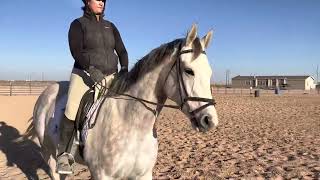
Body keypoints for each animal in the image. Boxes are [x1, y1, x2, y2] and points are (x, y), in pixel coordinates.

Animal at [30, 24, 218, 179]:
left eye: (209, 72)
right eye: (189, 71)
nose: (210, 120)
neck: (132, 123)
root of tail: (47, 91)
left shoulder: (143, 175)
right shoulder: (102, 175)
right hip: (49, 155)